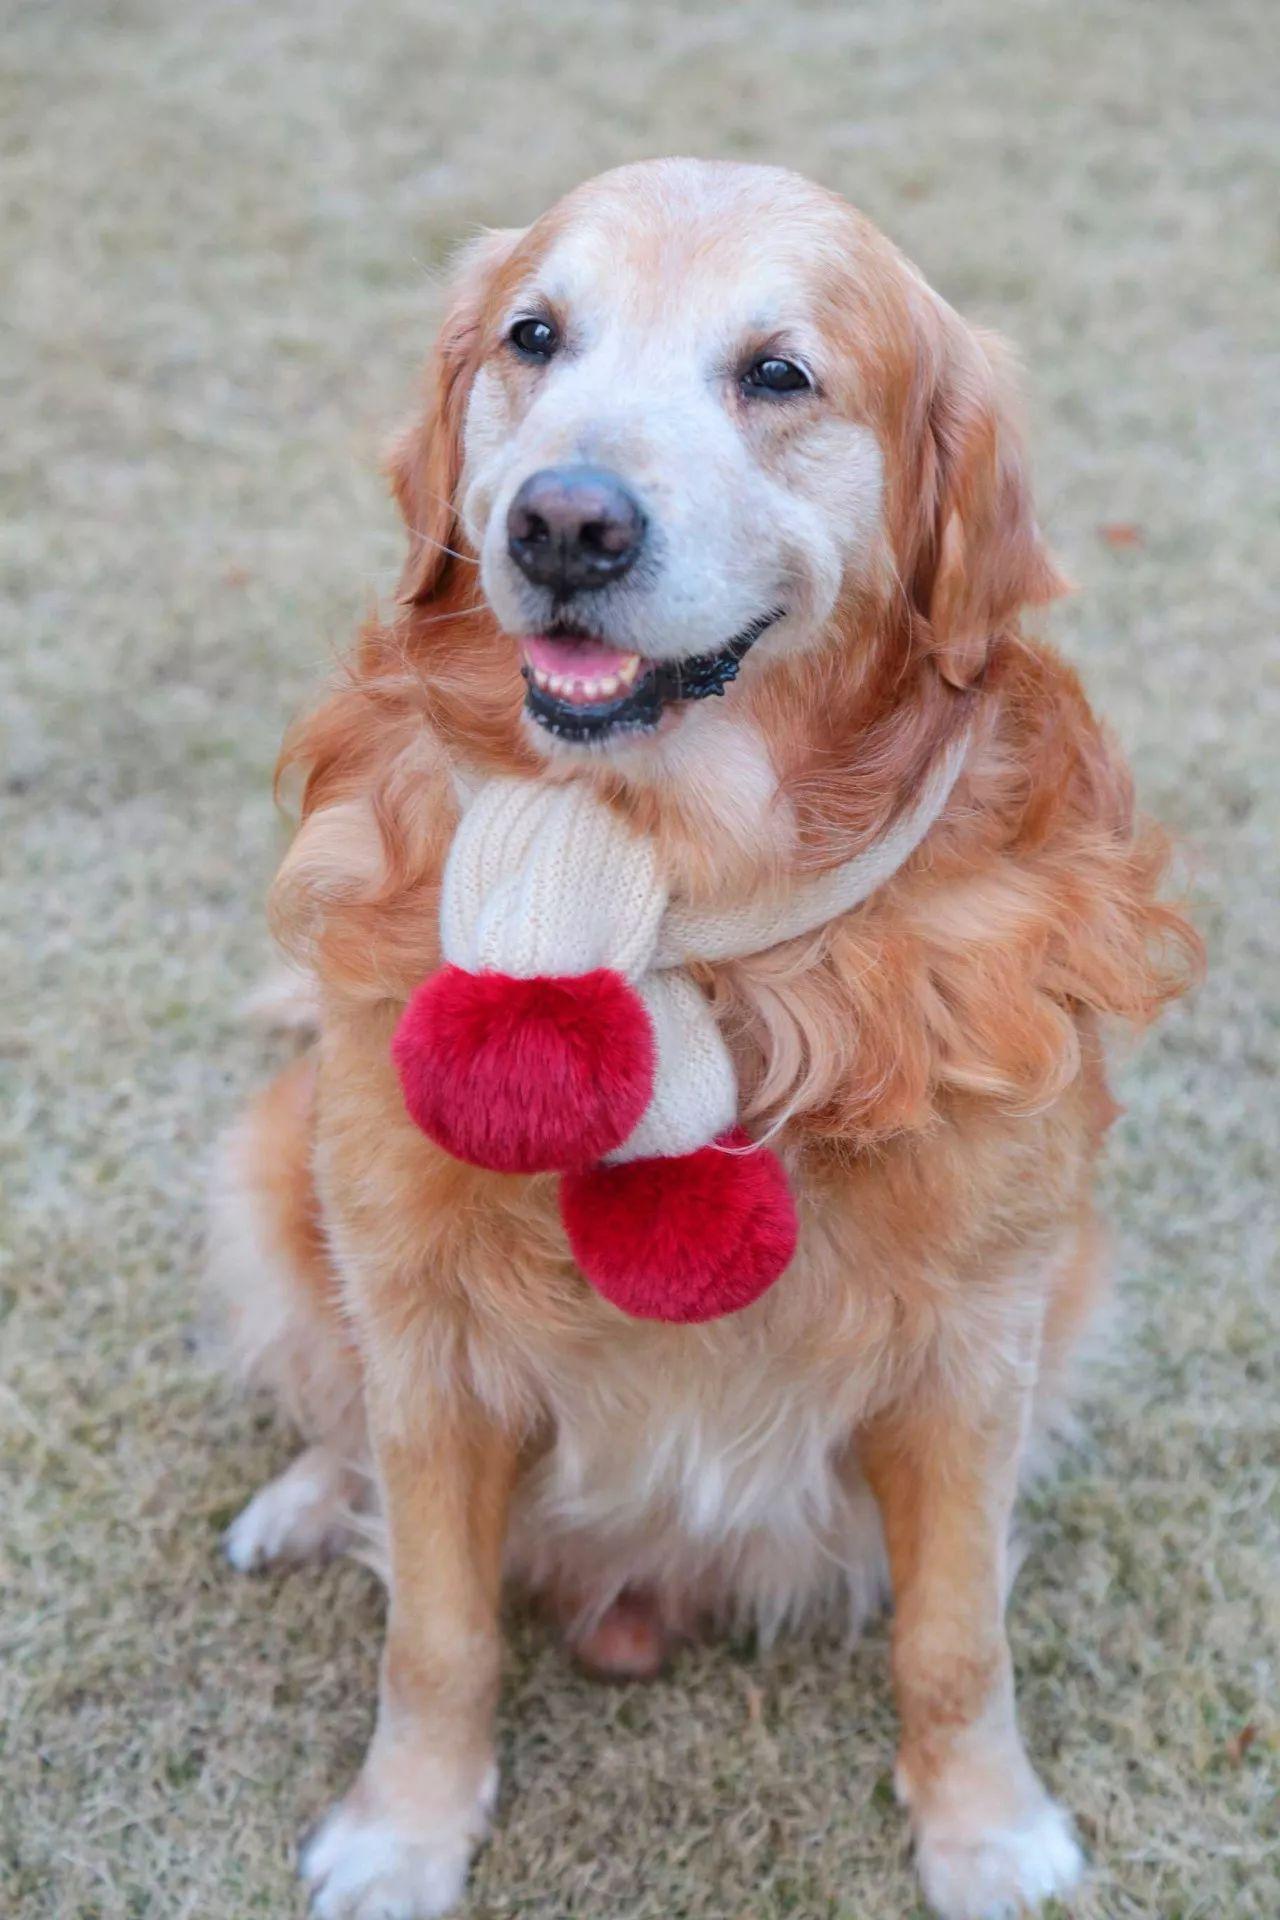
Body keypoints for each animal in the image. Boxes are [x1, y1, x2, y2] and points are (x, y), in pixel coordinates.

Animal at [210, 157, 1205, 1912]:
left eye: (779, 373)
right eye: (535, 336)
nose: (563, 521)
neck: (682, 894)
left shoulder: (975, 1340)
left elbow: (958, 1640)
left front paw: (985, 1827)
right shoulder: (423, 1319)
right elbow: (436, 1632)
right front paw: (404, 1829)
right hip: (275, 1159)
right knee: (339, 1403)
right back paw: (308, 1496)